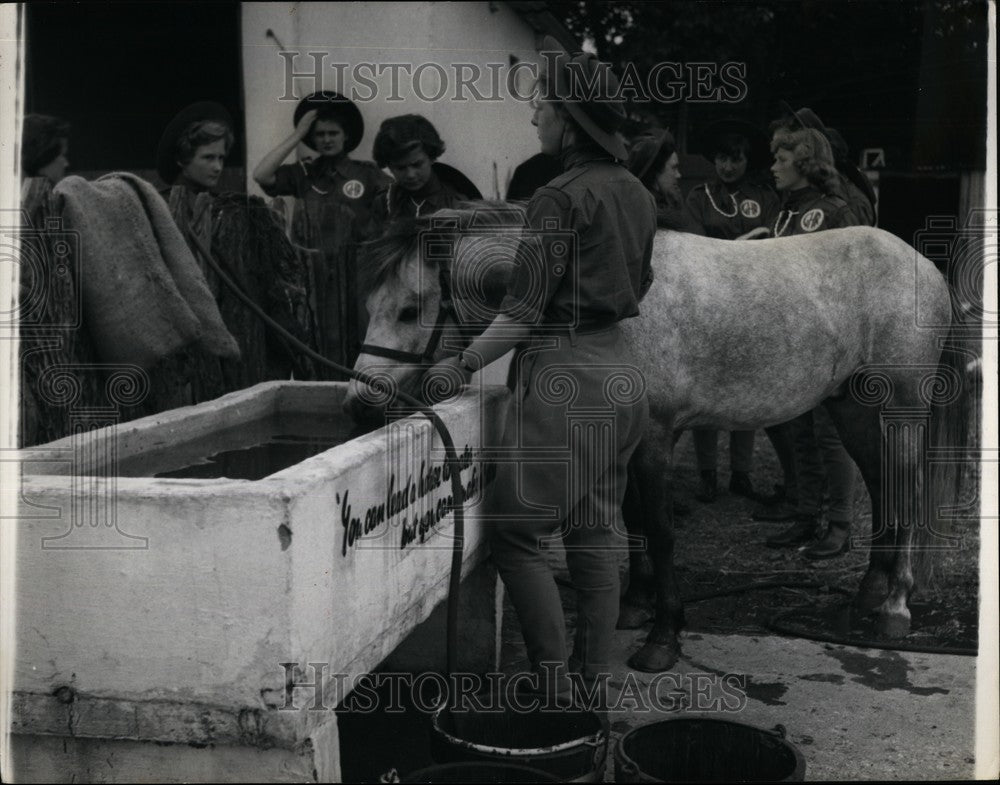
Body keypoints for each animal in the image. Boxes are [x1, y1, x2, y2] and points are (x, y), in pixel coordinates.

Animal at [342, 204, 968, 672]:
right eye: (368, 304)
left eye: (409, 309)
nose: (359, 401)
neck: (618, 307)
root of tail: (924, 265)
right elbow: (634, 523)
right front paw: (635, 607)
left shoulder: (656, 440)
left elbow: (661, 533)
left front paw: (663, 636)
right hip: (854, 409)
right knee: (883, 491)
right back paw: (866, 596)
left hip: (902, 410)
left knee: (907, 496)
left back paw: (895, 607)